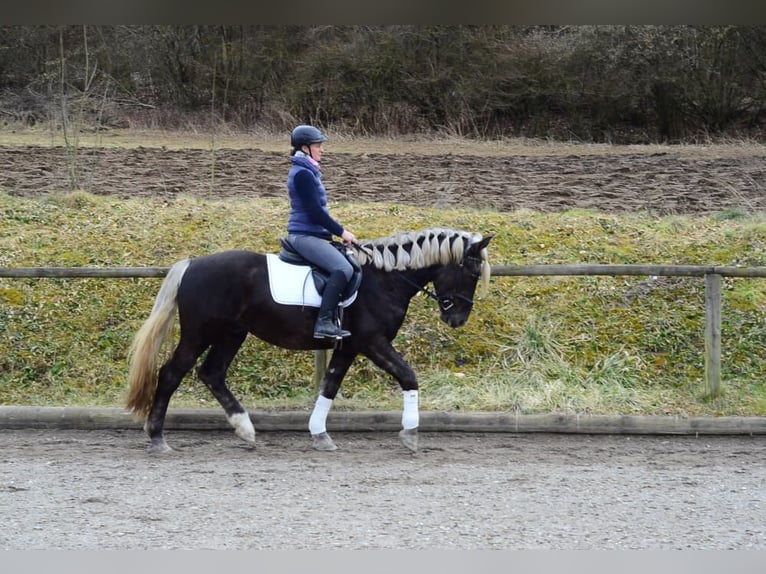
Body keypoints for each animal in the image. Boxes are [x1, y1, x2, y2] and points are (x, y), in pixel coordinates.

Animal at [127, 228, 496, 454]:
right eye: (471, 273)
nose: (457, 319)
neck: (386, 280)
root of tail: (191, 265)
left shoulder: (350, 346)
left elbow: (329, 386)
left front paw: (320, 434)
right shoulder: (372, 342)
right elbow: (408, 376)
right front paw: (410, 434)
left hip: (232, 333)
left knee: (212, 374)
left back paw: (245, 428)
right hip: (200, 332)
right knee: (172, 374)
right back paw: (157, 437)